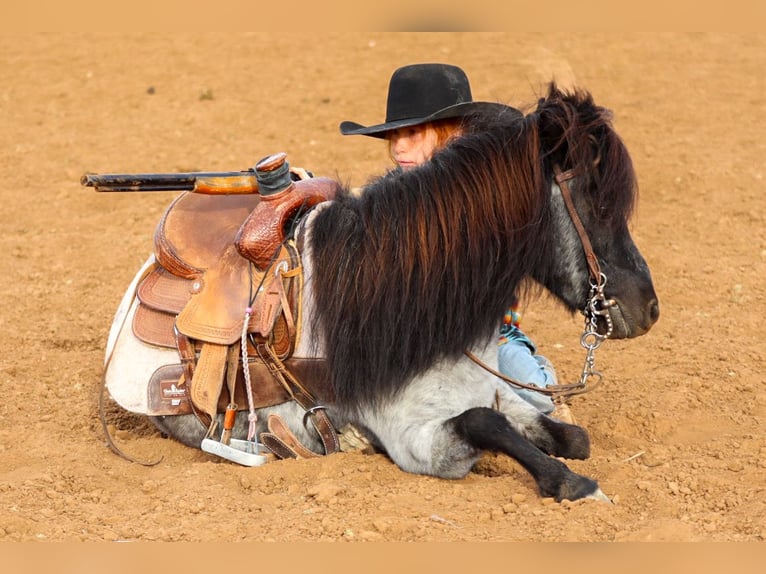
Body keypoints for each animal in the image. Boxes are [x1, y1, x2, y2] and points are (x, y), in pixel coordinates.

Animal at [102, 83, 659, 503]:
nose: (648, 309)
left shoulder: (500, 392)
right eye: (598, 204)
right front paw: (576, 485)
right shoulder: (420, 442)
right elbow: (488, 425)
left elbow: (571, 436)